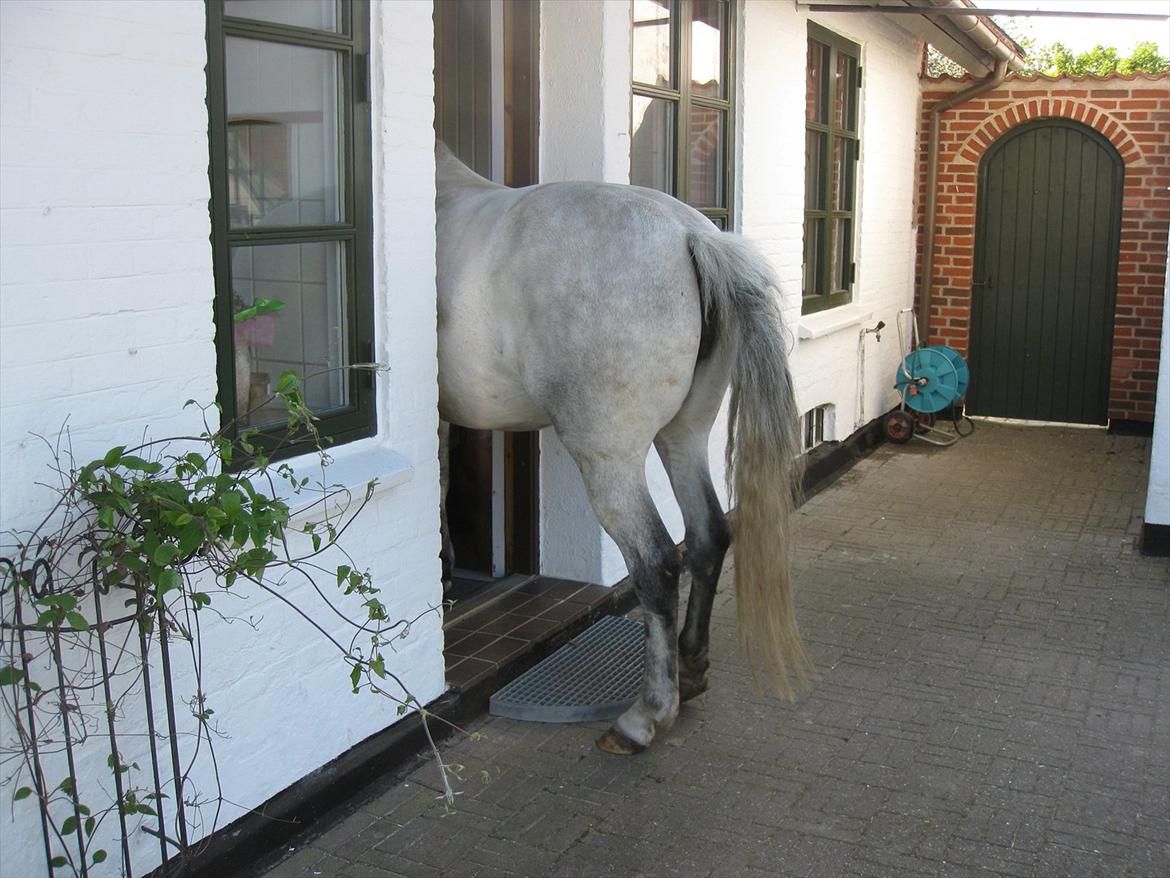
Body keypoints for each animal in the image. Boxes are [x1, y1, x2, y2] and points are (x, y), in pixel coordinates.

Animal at [435, 144, 809, 758]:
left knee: (656, 562)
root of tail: (689, 234)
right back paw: (691, 667)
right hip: (683, 436)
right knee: (708, 534)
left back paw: (646, 715)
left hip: (609, 459)